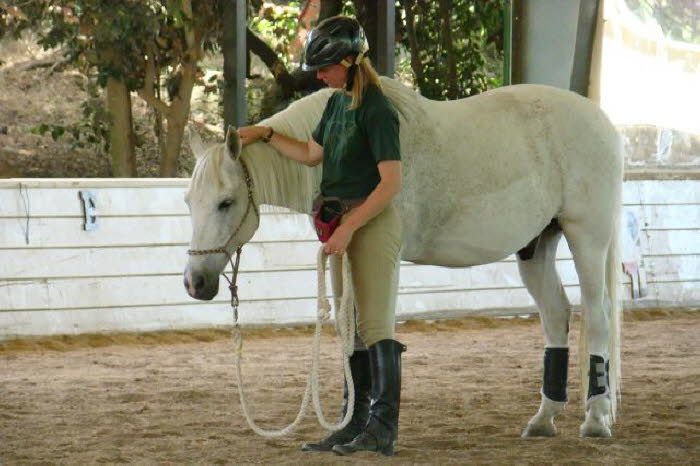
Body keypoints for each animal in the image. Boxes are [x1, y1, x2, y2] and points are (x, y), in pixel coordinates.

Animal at [182, 76, 624, 436]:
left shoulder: (384, 259)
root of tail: (602, 121)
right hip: (536, 247)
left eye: (225, 202)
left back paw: (596, 418)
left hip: (587, 238)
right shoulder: (344, 258)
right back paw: (544, 419)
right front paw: (347, 425)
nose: (194, 282)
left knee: (597, 316)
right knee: (557, 315)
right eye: (188, 201)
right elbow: (353, 337)